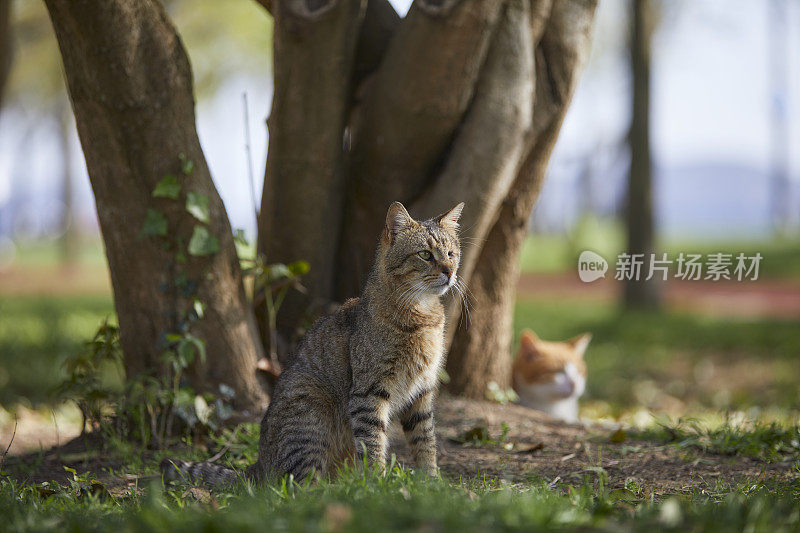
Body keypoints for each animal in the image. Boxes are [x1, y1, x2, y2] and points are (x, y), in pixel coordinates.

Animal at [162, 202, 462, 484]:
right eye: (425, 255)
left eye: (451, 254)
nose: (450, 271)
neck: (423, 315)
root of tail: (258, 464)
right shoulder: (369, 392)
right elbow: (373, 443)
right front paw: (377, 484)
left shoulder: (422, 390)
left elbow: (425, 441)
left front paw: (431, 483)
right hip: (311, 408)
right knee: (302, 486)